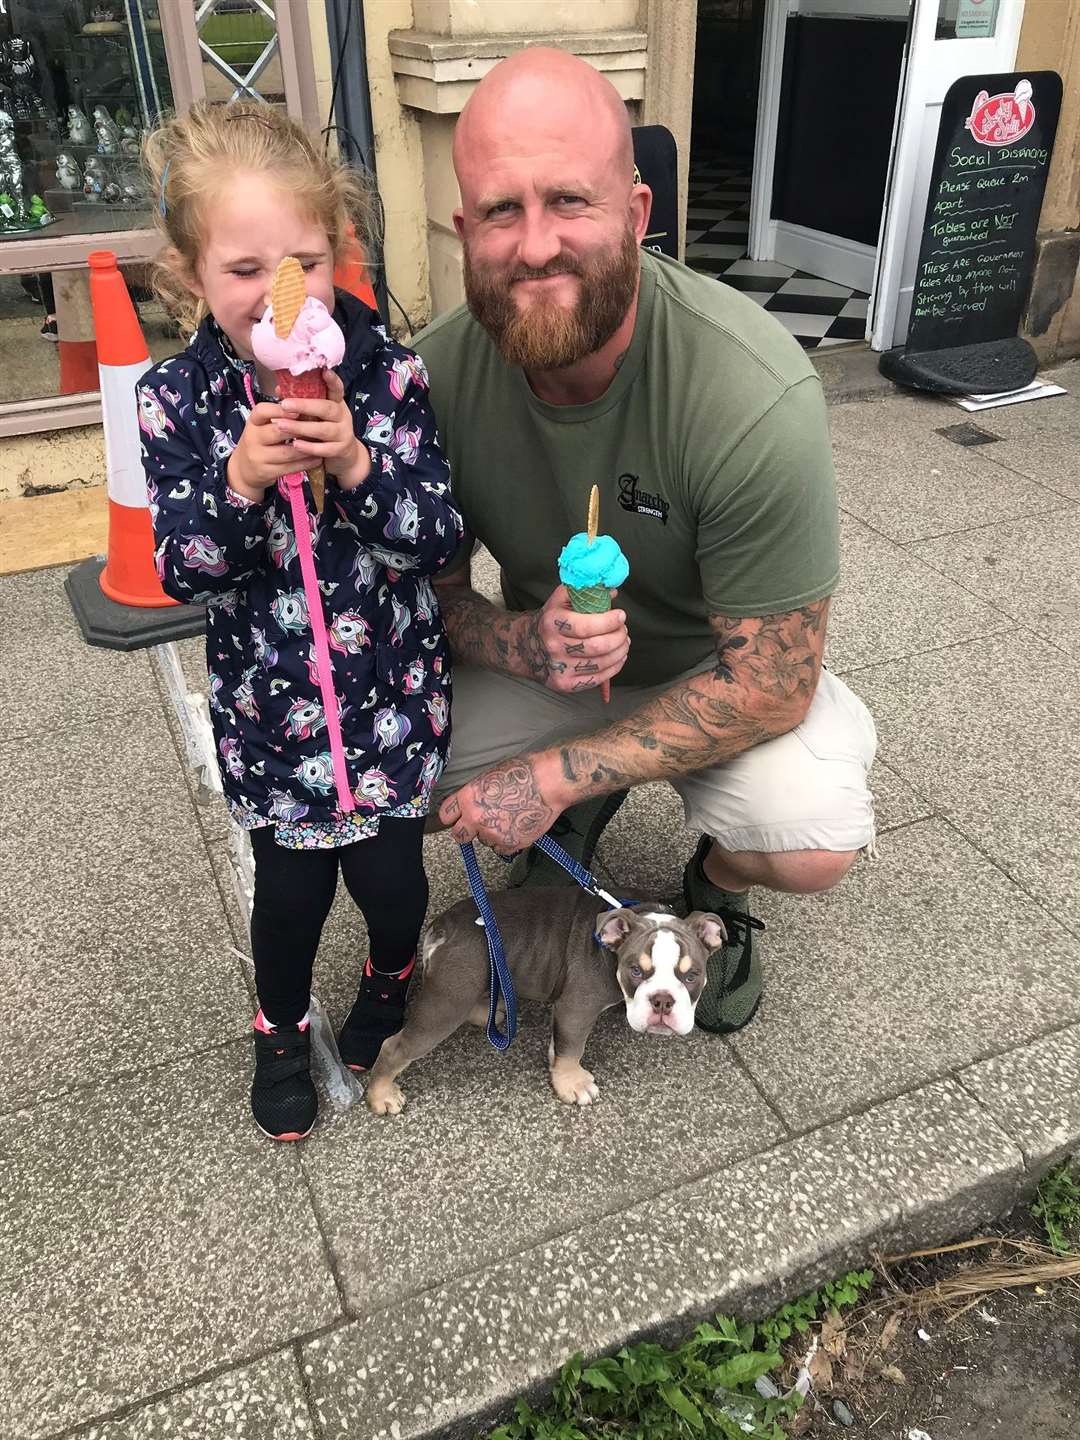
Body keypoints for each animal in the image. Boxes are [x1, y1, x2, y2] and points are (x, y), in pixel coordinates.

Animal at [364, 887, 728, 1111]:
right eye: (635, 971)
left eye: (692, 976)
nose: (663, 1000)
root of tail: (442, 927)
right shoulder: (577, 1008)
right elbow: (573, 1048)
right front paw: (572, 1083)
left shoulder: (565, 1013)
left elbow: (561, 1043)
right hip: (446, 1001)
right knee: (395, 1046)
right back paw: (381, 1095)